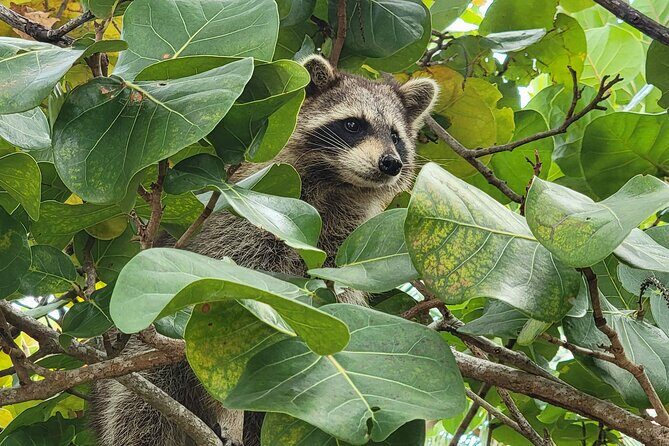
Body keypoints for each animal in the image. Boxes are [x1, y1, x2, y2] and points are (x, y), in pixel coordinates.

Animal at [91, 55, 438, 446]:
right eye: (353, 125)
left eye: (395, 135)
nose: (391, 163)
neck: (335, 184)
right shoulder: (250, 220)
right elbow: (222, 336)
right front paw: (229, 412)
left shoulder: (341, 241)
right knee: (139, 411)